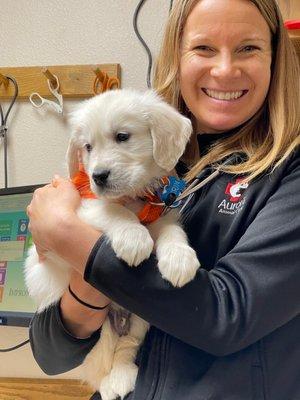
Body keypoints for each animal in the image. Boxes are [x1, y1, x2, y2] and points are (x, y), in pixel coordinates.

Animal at [24, 88, 200, 400]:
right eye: (88, 147)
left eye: (122, 136)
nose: (98, 176)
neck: (134, 197)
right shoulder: (84, 207)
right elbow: (115, 212)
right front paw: (134, 238)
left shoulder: (161, 215)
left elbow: (172, 233)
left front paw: (180, 259)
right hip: (99, 328)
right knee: (101, 364)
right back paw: (110, 384)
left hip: (141, 321)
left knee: (126, 349)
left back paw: (122, 375)